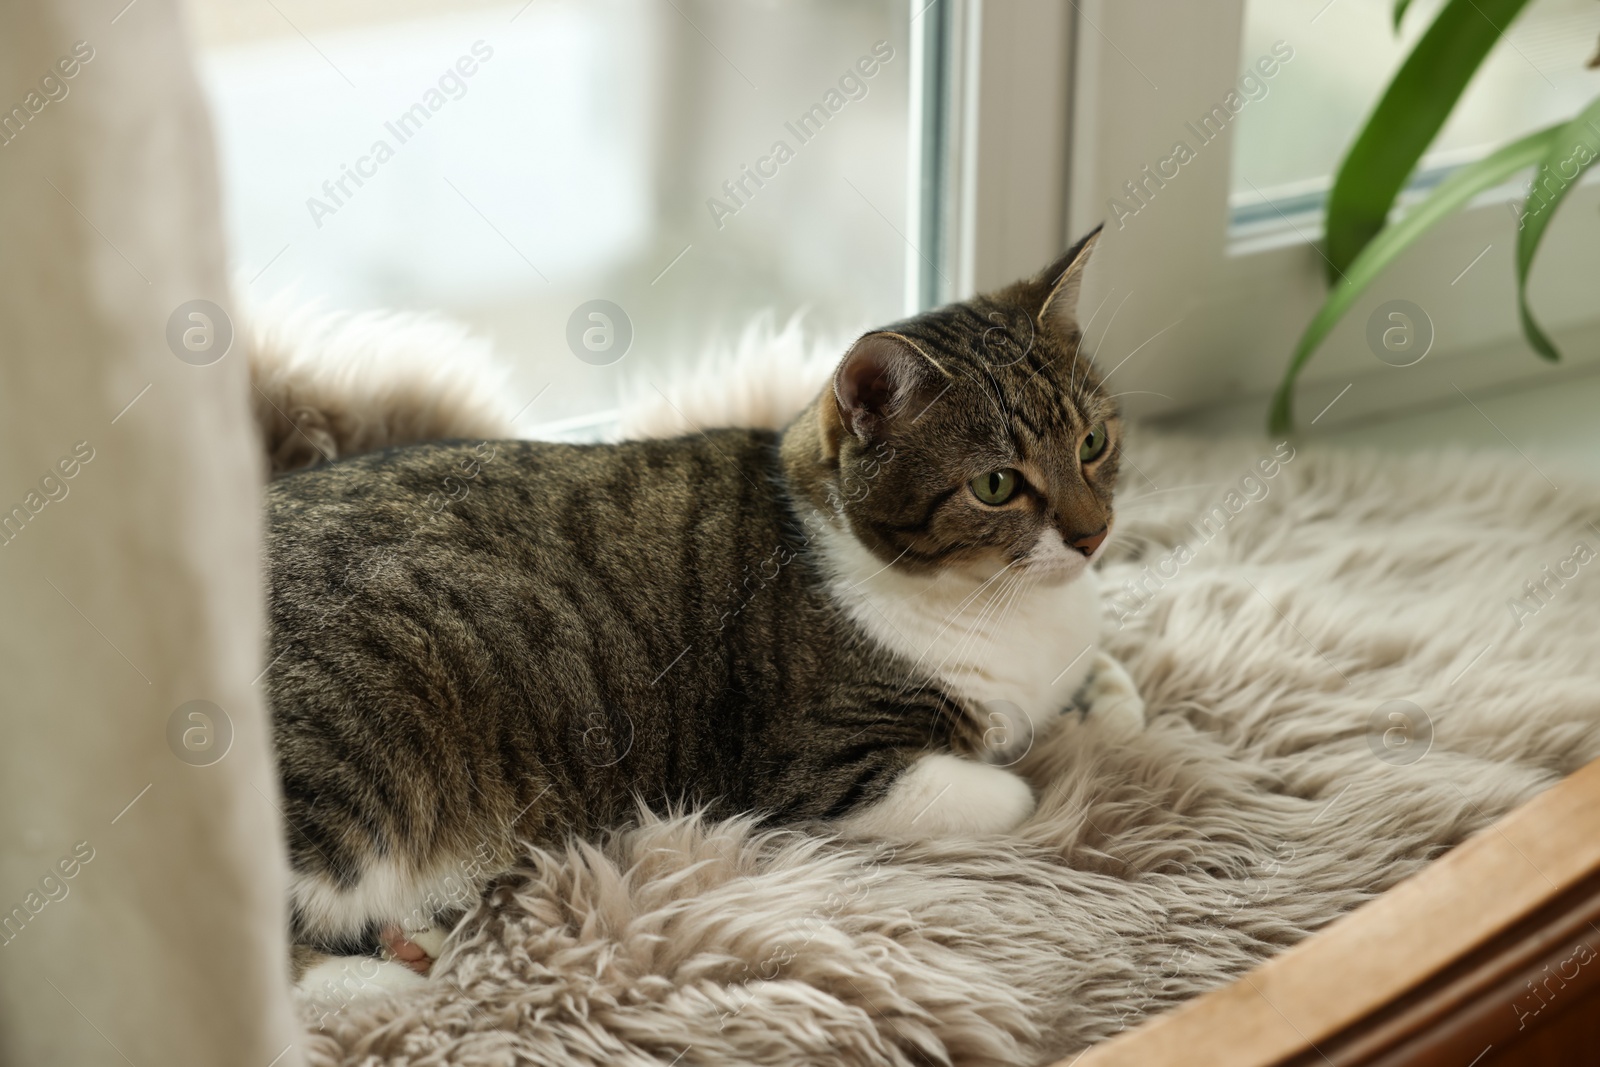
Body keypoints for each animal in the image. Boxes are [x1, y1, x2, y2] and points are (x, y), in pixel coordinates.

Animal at [265, 227, 1139, 991]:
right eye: (997, 484)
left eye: (1094, 443)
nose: (1094, 533)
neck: (1010, 605)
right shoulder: (816, 769)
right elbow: (1013, 789)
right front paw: (1029, 752)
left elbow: (1108, 688)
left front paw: (1106, 709)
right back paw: (384, 984)